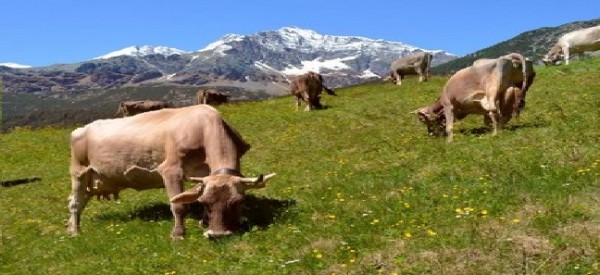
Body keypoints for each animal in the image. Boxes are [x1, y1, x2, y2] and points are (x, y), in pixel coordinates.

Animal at [68, 105, 276, 239]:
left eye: (239, 202)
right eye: (206, 202)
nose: (218, 234)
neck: (204, 126)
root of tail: (81, 128)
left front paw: (204, 222)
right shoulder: (171, 170)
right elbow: (178, 205)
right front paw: (178, 234)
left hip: (95, 181)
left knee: (78, 200)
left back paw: (71, 227)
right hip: (79, 171)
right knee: (75, 202)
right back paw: (75, 232)